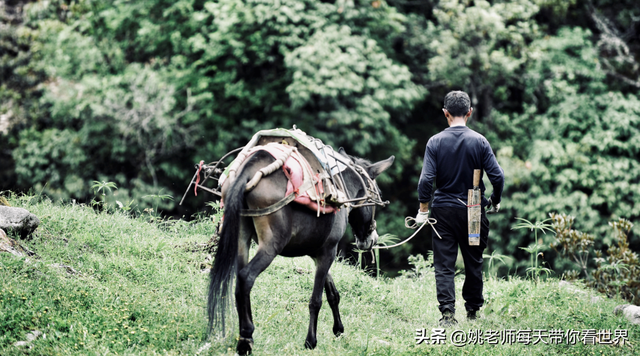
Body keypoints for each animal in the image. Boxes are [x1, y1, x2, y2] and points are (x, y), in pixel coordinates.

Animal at [208, 147, 392, 354]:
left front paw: (338, 329)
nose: (371, 239)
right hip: (270, 246)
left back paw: (245, 335)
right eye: (376, 194)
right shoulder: (328, 251)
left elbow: (332, 293)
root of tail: (249, 169)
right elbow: (316, 300)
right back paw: (246, 338)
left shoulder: (317, 253)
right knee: (246, 277)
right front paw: (311, 341)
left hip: (242, 241)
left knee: (239, 283)